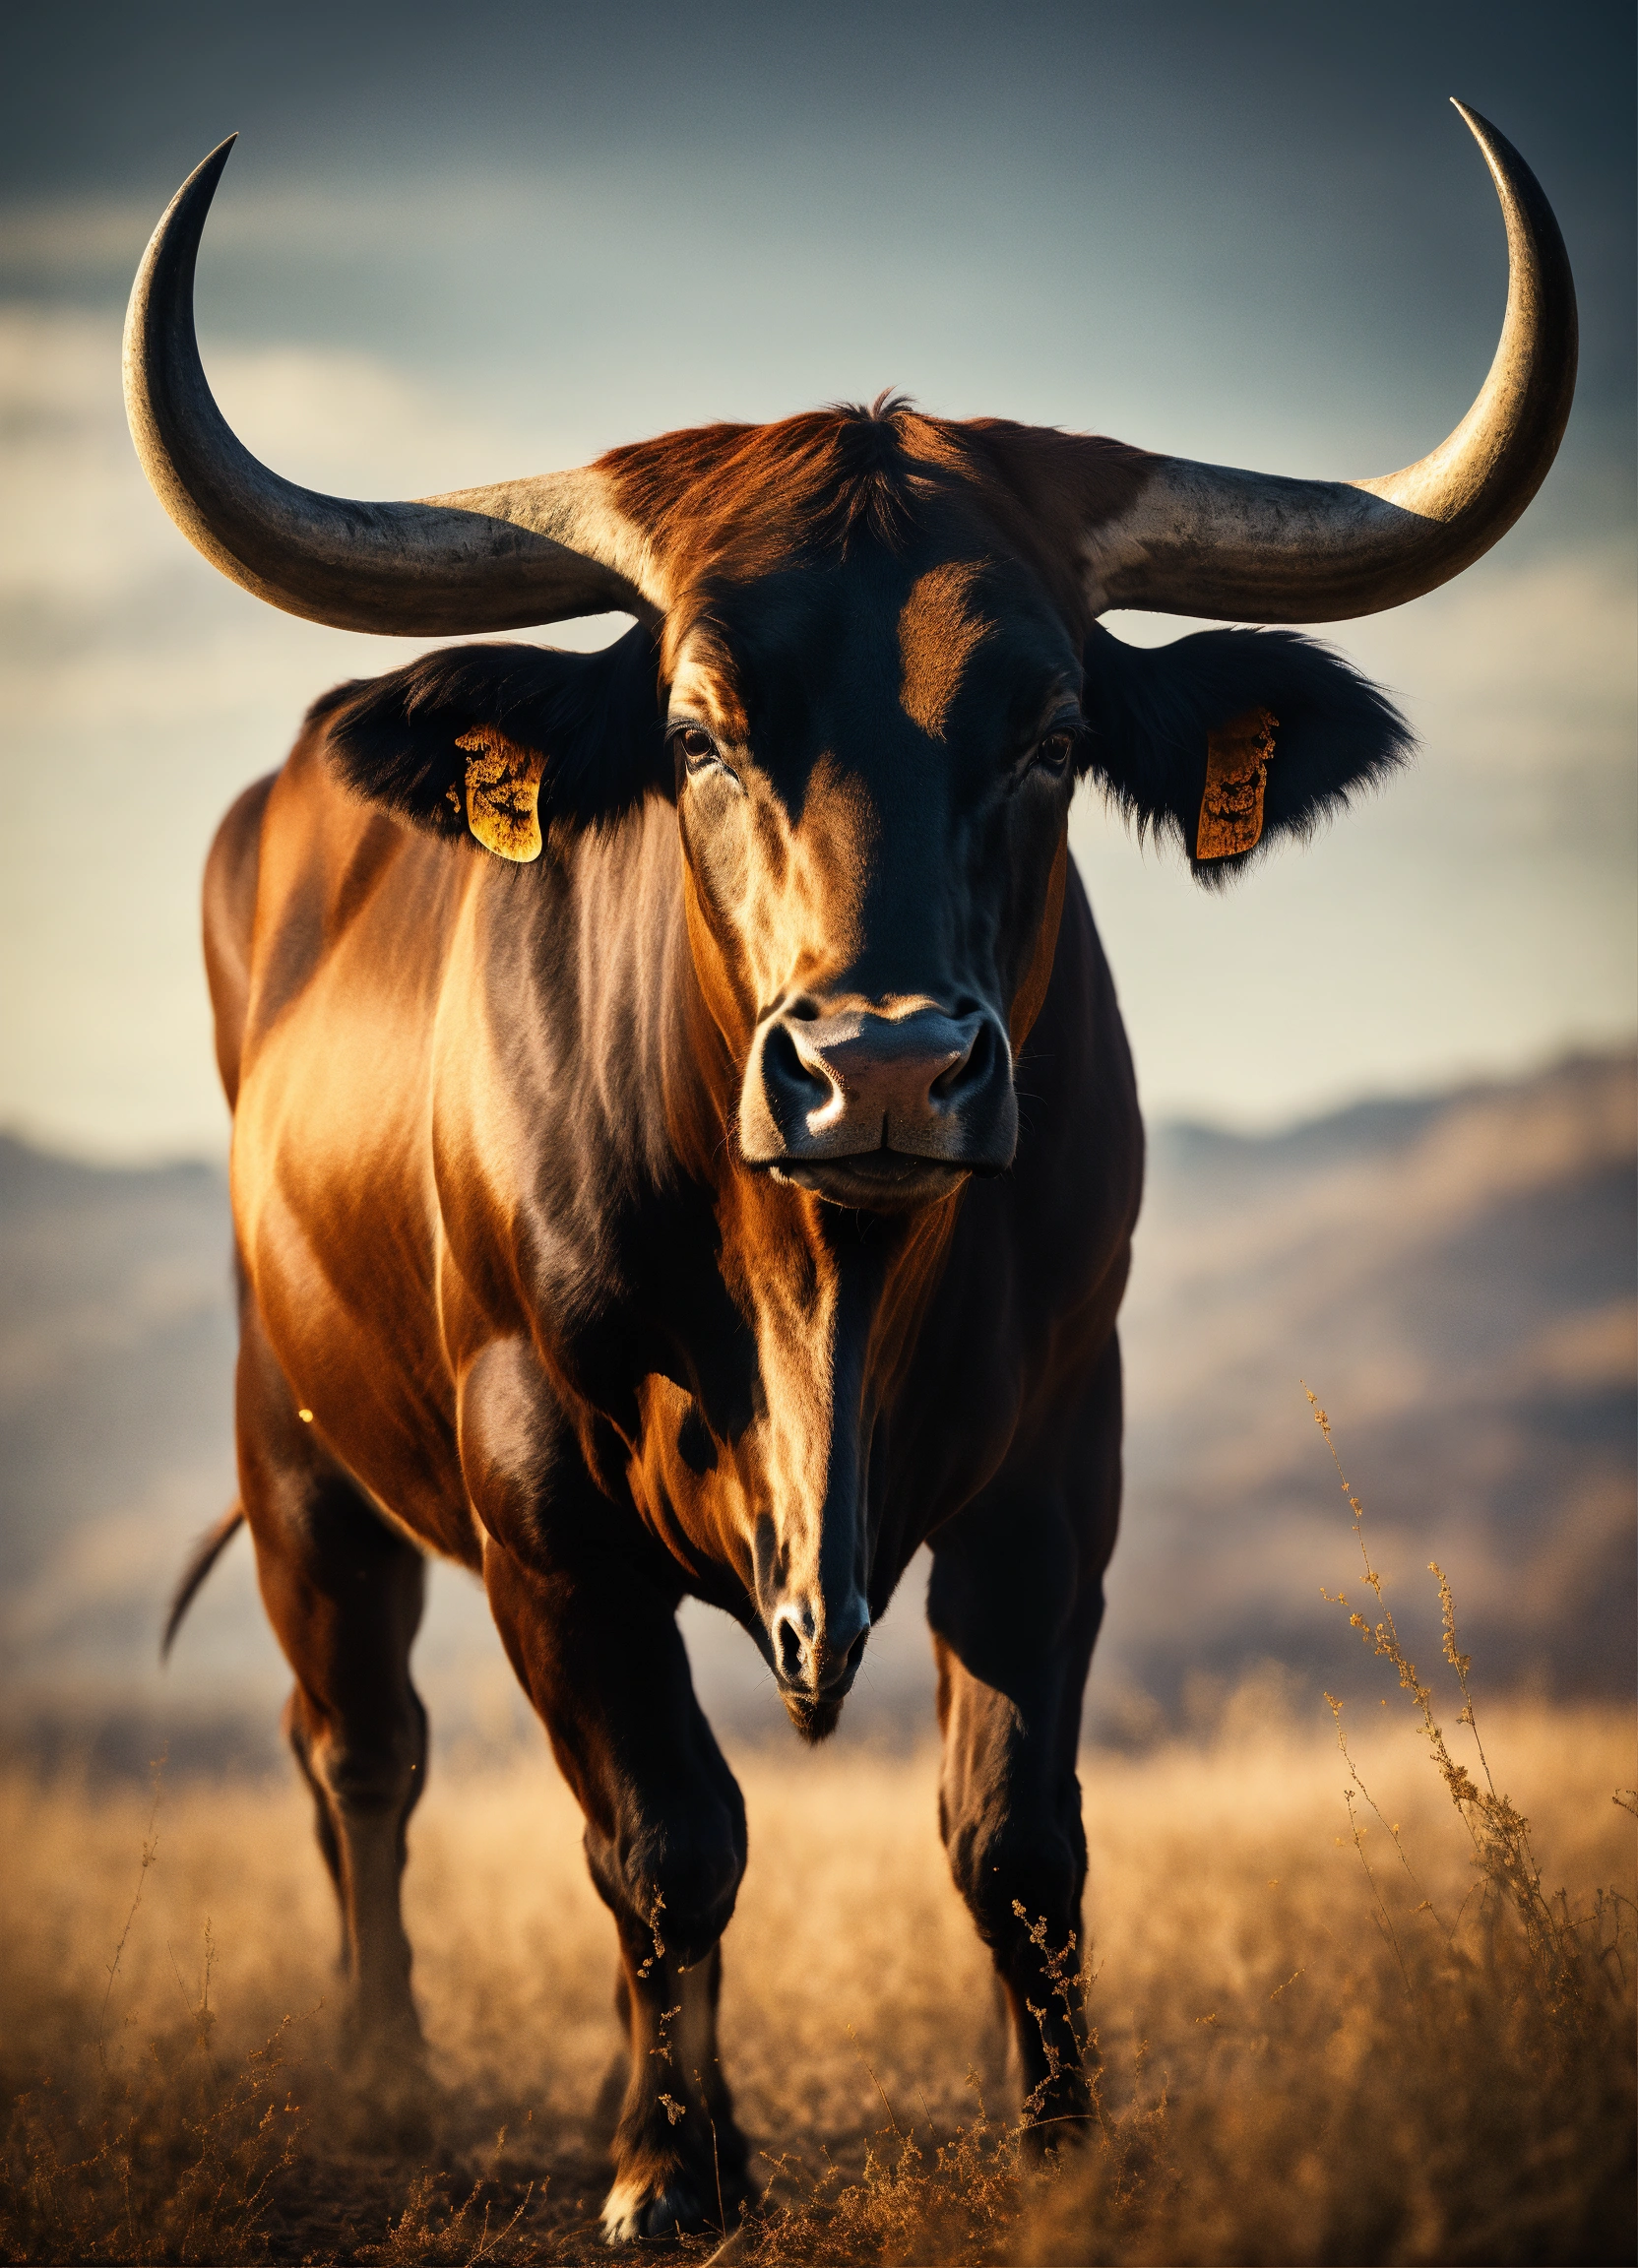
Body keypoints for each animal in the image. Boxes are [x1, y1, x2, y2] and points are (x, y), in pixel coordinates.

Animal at [131, 104, 1573, 2242]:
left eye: (1052, 731)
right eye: (696, 731)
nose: (878, 1065)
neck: (820, 1281)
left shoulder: (1059, 1451)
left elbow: (1012, 1834)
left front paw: (1056, 2144)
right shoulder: (535, 1484)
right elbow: (662, 1834)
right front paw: (672, 2173)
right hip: (297, 1450)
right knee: (361, 1756)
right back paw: (392, 2090)